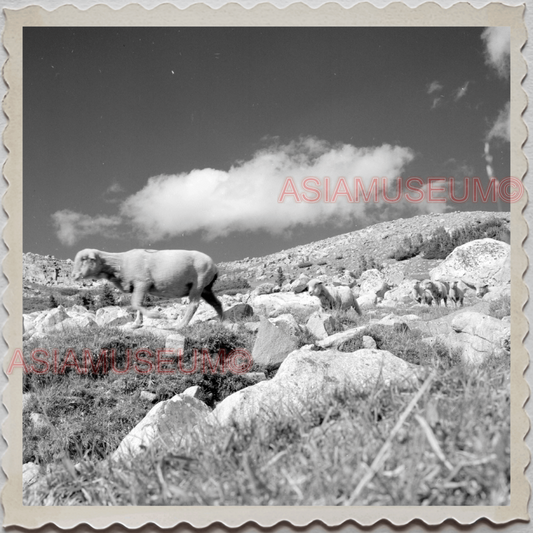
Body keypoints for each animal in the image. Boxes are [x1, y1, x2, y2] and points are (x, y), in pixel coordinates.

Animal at [71, 248, 222, 328]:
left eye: (84, 259)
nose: (73, 275)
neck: (118, 264)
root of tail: (214, 266)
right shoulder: (137, 286)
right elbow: (139, 305)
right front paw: (137, 323)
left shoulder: (142, 282)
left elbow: (135, 304)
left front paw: (157, 315)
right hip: (206, 288)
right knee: (217, 303)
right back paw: (223, 321)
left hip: (198, 283)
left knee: (193, 305)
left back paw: (179, 325)